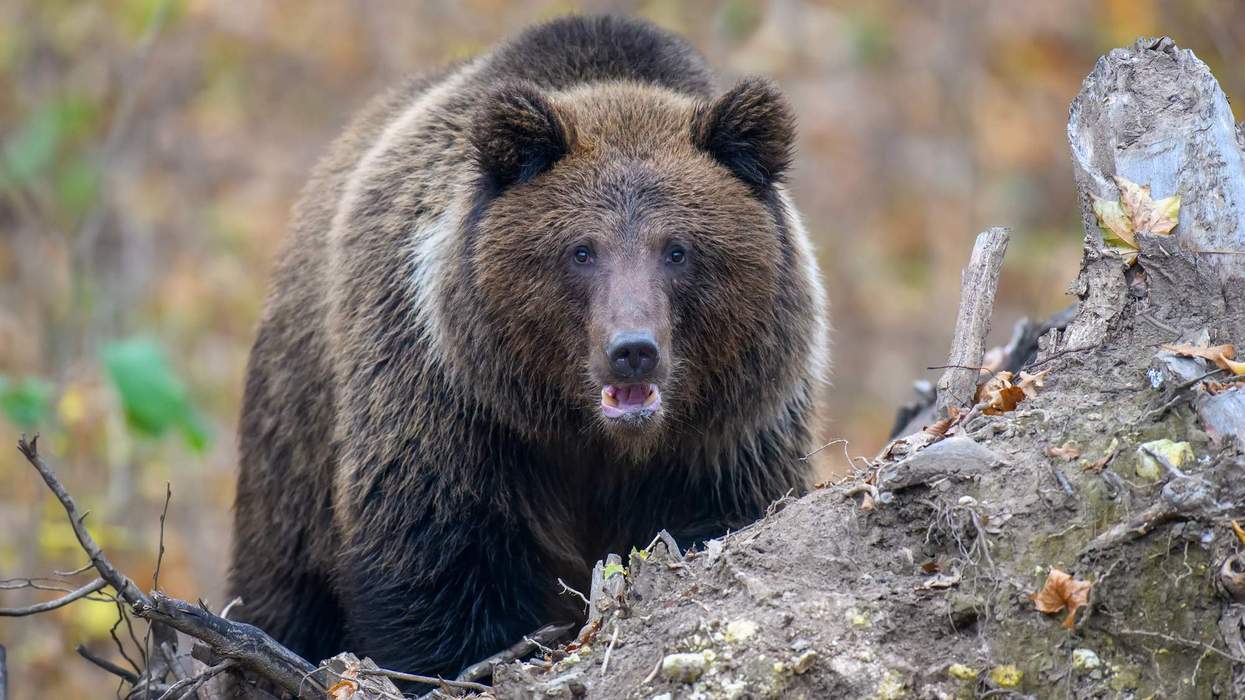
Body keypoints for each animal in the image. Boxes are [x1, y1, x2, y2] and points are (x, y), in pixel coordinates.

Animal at [229, 14, 829, 680]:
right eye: (581, 250)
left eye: (678, 249)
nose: (632, 349)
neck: (591, 439)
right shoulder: (451, 400)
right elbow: (434, 562)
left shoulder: (724, 432)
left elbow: (719, 514)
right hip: (293, 438)